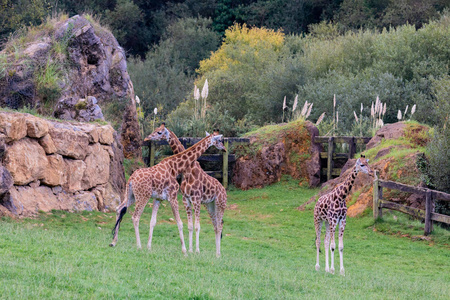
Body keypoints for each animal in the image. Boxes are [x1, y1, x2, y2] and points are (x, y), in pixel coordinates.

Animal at [145, 124, 229, 258]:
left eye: (159, 132)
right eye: (220, 140)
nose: (224, 148)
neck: (189, 171)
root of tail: (224, 190)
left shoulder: (196, 199)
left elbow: (197, 226)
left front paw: (197, 251)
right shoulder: (186, 199)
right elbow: (190, 226)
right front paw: (190, 250)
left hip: (220, 204)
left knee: (219, 225)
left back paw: (218, 254)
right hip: (210, 205)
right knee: (216, 225)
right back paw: (217, 254)